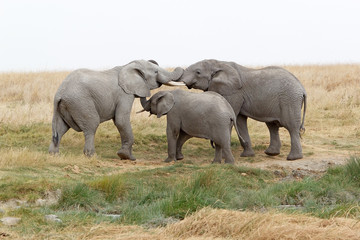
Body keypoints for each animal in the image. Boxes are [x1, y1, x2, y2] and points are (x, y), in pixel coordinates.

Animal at [47, 59, 183, 159]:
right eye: (155, 72)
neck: (127, 66)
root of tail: (59, 93)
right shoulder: (124, 94)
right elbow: (121, 120)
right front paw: (126, 157)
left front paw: (126, 156)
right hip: (81, 102)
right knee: (91, 126)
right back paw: (92, 156)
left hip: (64, 106)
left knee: (60, 129)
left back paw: (54, 155)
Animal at [177, 59, 306, 161]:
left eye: (198, 72)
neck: (218, 63)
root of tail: (302, 88)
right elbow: (239, 121)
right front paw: (247, 155)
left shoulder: (233, 92)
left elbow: (232, 118)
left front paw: (223, 156)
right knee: (272, 125)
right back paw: (271, 153)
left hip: (290, 100)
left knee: (291, 126)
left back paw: (293, 158)